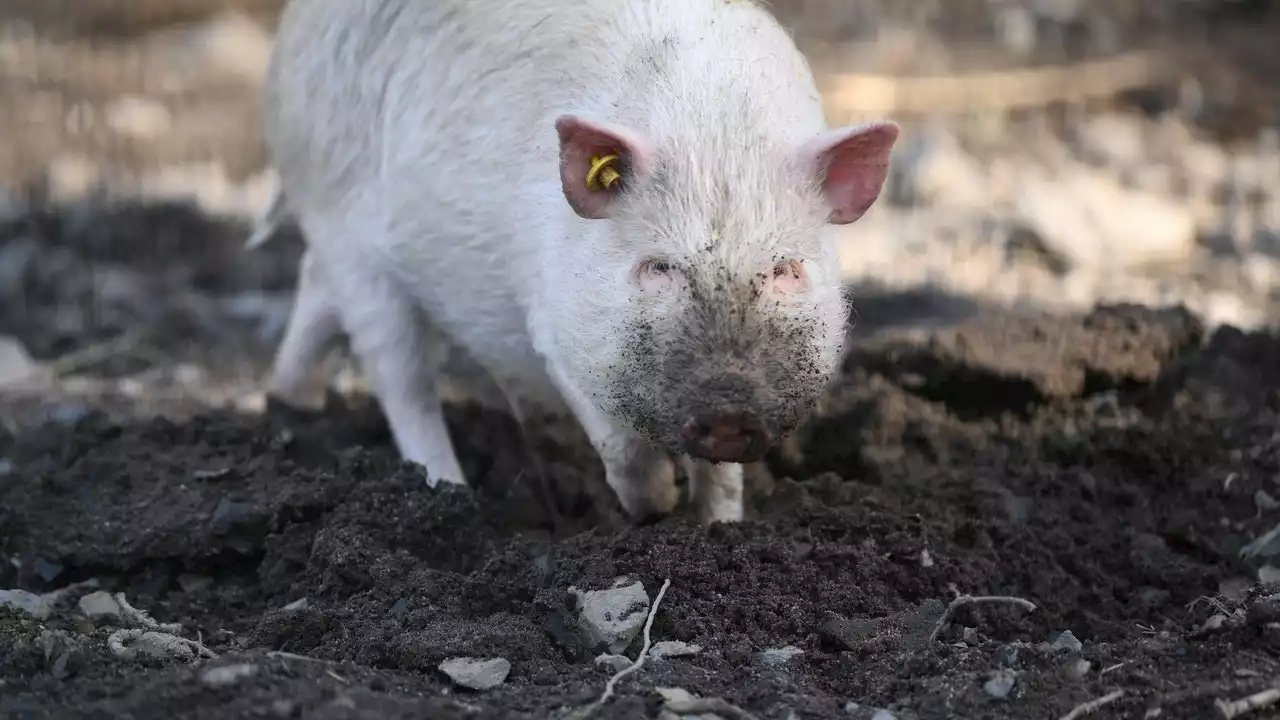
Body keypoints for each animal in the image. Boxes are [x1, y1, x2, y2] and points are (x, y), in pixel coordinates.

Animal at [254, 0, 901, 520]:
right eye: (657, 267)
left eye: (785, 270)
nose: (729, 405)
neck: (711, 134)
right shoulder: (554, 327)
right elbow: (624, 447)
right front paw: (654, 509)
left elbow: (720, 478)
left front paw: (720, 528)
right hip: (346, 233)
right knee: (401, 379)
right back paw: (450, 494)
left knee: (316, 289)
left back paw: (289, 402)